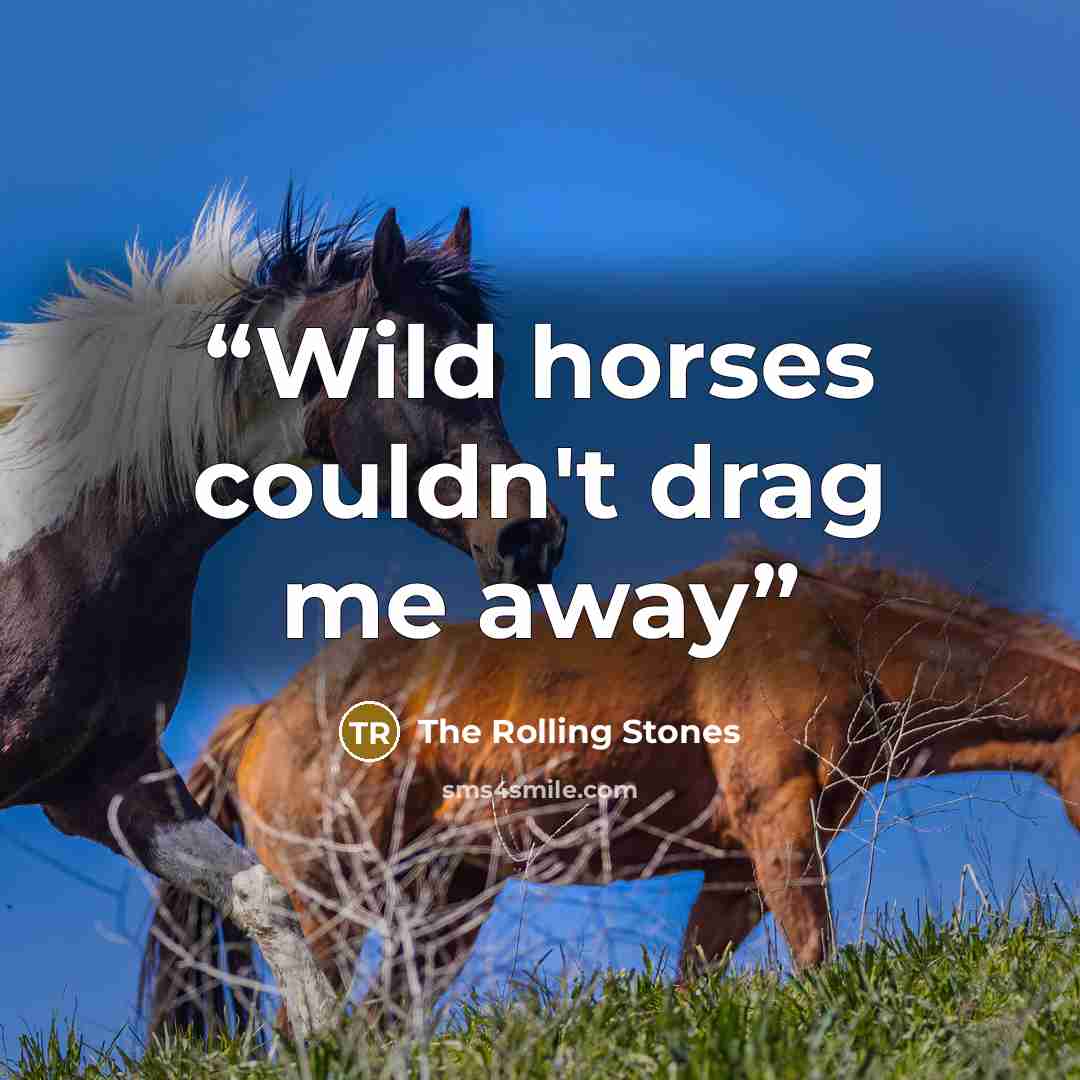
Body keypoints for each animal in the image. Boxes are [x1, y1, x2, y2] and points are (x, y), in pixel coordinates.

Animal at [0, 189, 567, 1037]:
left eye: (492, 368)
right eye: (412, 367)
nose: (529, 536)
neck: (53, 557)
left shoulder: (104, 779)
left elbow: (259, 894)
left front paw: (324, 1039)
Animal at [141, 546, 1080, 1034]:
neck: (840, 636)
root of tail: (267, 713)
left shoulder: (736, 866)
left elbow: (697, 982)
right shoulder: (778, 823)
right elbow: (815, 955)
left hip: (446, 907)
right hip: (330, 900)